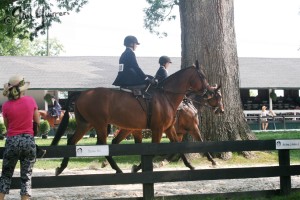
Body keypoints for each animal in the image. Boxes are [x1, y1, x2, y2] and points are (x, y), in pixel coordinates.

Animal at [51, 61, 218, 175]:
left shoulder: (169, 128)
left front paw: (190, 165)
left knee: (72, 142)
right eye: (202, 76)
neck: (166, 96)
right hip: (99, 124)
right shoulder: (158, 129)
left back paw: (61, 168)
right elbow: (153, 151)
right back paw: (117, 169)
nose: (209, 93)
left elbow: (177, 146)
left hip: (86, 124)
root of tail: (82, 93)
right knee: (103, 144)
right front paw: (138, 168)